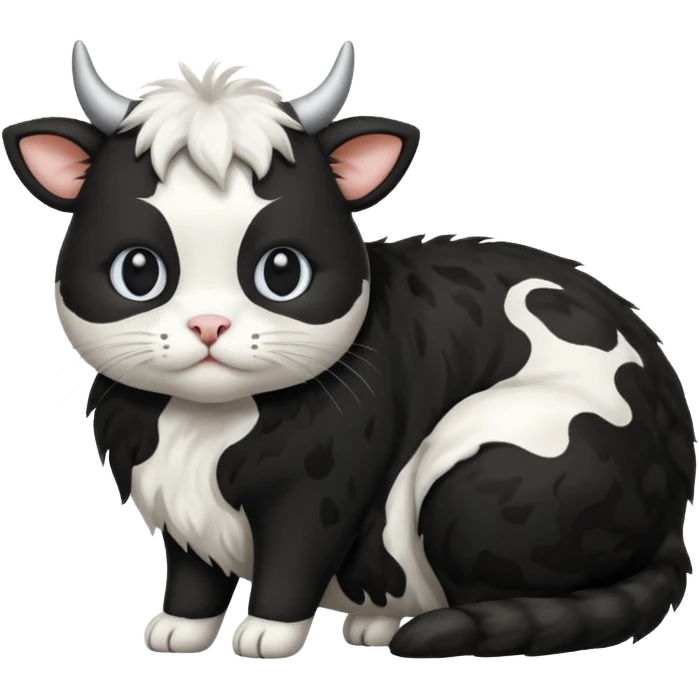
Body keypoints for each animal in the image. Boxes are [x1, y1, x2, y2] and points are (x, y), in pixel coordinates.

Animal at [3, 40, 695, 660]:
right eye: (139, 271)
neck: (203, 424)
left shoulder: (321, 487)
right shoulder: (175, 500)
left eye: (283, 271)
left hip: (483, 470)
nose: (208, 325)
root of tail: (673, 513)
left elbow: (293, 558)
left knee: (505, 602)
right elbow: (194, 574)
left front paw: (268, 634)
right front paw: (180, 630)